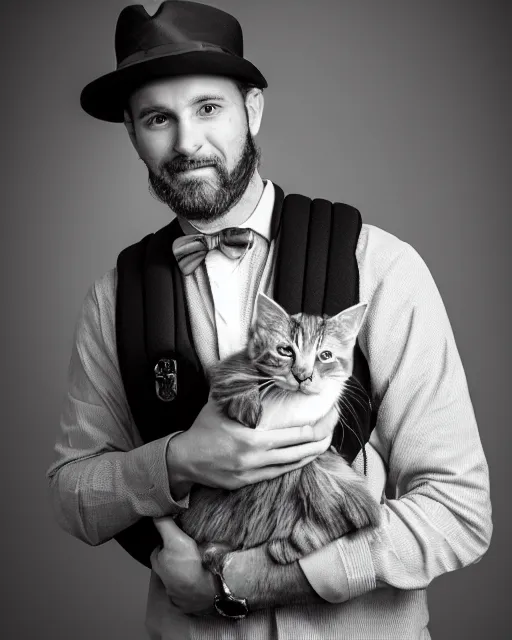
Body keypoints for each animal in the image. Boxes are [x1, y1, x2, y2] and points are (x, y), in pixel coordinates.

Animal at [178, 294, 382, 564]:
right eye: (285, 351)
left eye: (325, 355)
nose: (302, 376)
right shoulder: (232, 365)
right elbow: (236, 375)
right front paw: (247, 403)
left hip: (335, 480)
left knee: (350, 513)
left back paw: (282, 548)